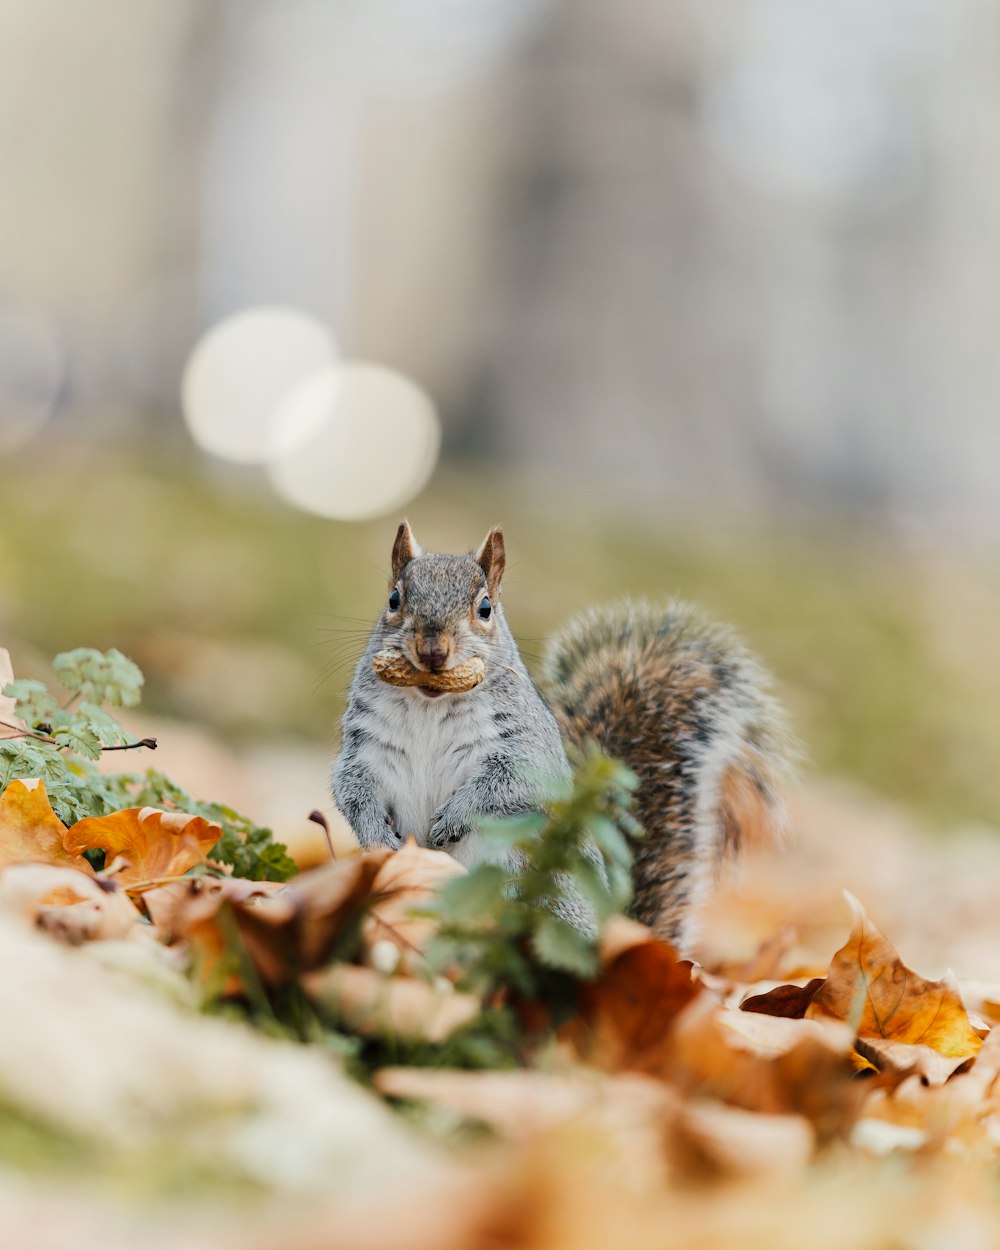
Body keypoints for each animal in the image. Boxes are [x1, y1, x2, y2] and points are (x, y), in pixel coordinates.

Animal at [332, 517, 795, 945]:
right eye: (394, 599)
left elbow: (513, 784)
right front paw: (377, 836)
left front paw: (453, 817)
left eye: (485, 608)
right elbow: (352, 789)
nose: (432, 650)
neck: (432, 701)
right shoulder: (365, 745)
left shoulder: (525, 747)